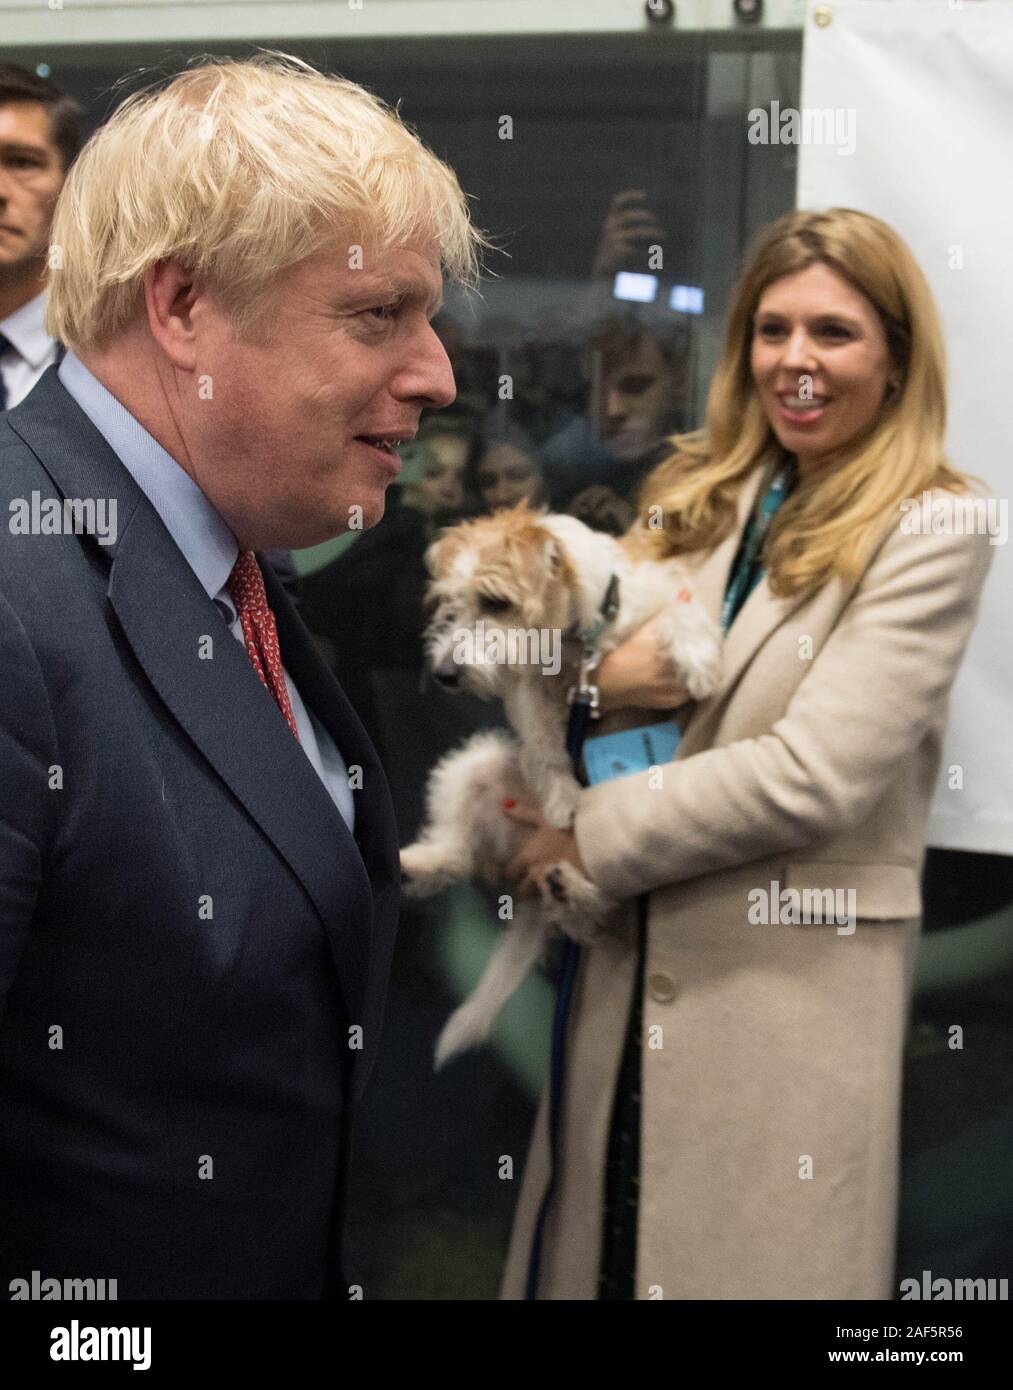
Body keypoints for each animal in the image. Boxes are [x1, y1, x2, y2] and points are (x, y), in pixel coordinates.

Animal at [400, 500, 722, 1061]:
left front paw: (699, 661)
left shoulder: (663, 595)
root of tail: (530, 892)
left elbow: (682, 613)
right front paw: (562, 800)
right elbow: (544, 743)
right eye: (449, 605)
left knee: (594, 917)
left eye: (495, 601)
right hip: (472, 766)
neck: (577, 637)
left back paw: (569, 887)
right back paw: (422, 863)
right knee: (457, 854)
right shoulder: (528, 687)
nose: (444, 675)